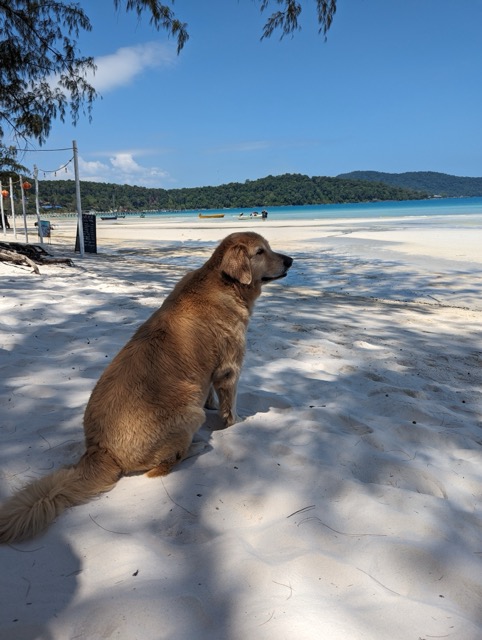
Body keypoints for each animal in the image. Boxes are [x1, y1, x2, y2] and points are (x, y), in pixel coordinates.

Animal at [0, 232, 292, 544]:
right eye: (261, 251)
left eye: (269, 247)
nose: (290, 260)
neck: (223, 282)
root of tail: (101, 449)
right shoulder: (230, 367)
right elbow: (230, 406)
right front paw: (234, 423)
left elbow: (211, 392)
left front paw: (212, 402)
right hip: (189, 415)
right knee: (163, 466)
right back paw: (198, 445)